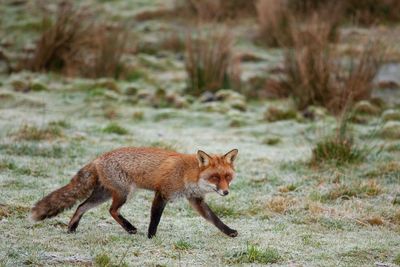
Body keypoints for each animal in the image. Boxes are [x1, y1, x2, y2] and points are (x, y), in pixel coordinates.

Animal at [31, 149, 239, 239]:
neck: (188, 173)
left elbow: (214, 219)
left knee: (82, 206)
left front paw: (229, 232)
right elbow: (155, 218)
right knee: (112, 211)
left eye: (228, 177)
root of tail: (98, 158)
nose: (226, 192)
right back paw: (129, 228)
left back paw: (71, 228)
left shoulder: (196, 200)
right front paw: (151, 236)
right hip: (124, 193)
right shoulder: (162, 193)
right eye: (214, 177)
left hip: (104, 195)